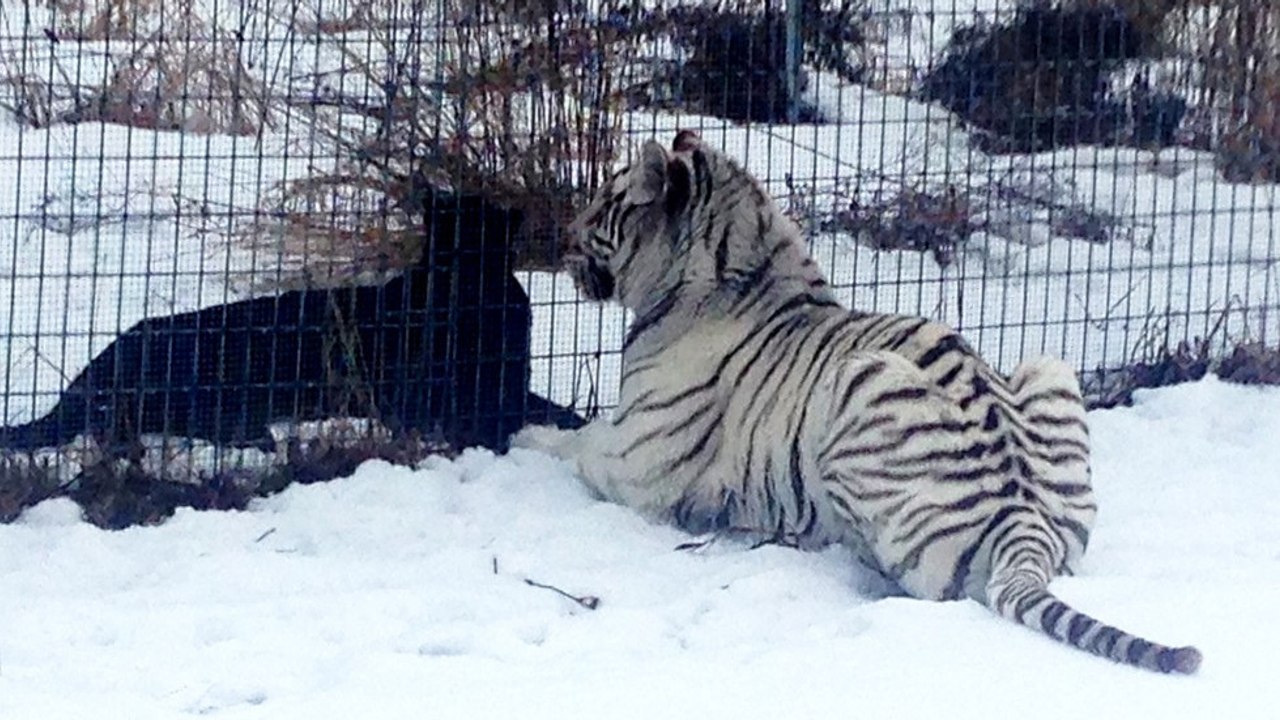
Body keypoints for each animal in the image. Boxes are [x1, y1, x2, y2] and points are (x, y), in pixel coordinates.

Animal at [511, 130, 1201, 674]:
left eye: (605, 204)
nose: (564, 236)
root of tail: (1022, 519)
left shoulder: (639, 462)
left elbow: (575, 443)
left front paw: (526, 436)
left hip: (859, 383)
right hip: (1049, 367)